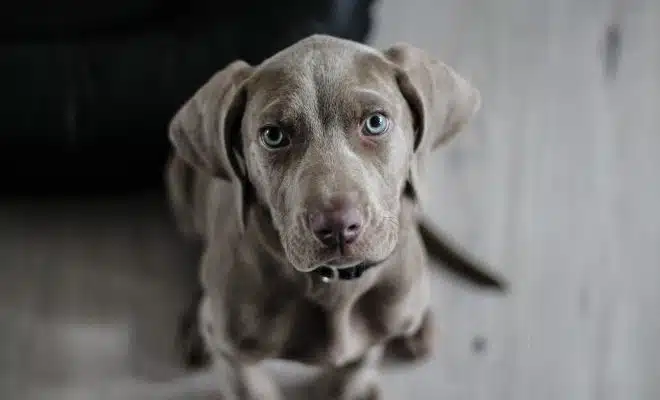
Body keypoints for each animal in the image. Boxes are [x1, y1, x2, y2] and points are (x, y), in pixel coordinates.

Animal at [165, 34, 506, 400]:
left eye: (375, 122)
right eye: (273, 135)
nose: (338, 227)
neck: (335, 286)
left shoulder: (369, 341)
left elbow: (351, 375)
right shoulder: (234, 356)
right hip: (179, 183)